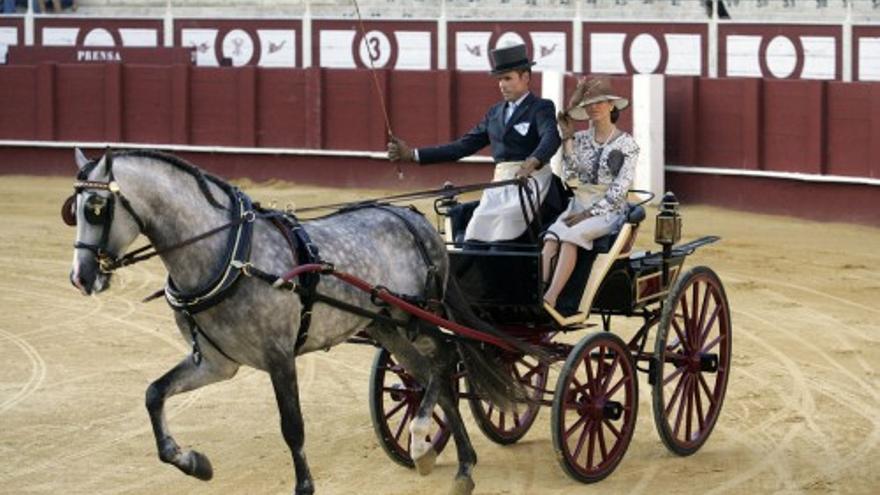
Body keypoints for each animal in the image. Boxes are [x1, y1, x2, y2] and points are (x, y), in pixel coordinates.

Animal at [67, 150, 528, 495]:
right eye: (73, 211)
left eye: (96, 207)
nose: (81, 277)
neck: (230, 256)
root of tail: (413, 219)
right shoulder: (216, 363)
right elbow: (154, 394)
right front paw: (194, 462)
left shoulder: (279, 358)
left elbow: (292, 428)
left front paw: (304, 486)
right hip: (388, 327)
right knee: (432, 375)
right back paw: (455, 462)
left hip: (418, 316)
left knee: (446, 360)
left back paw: (421, 440)